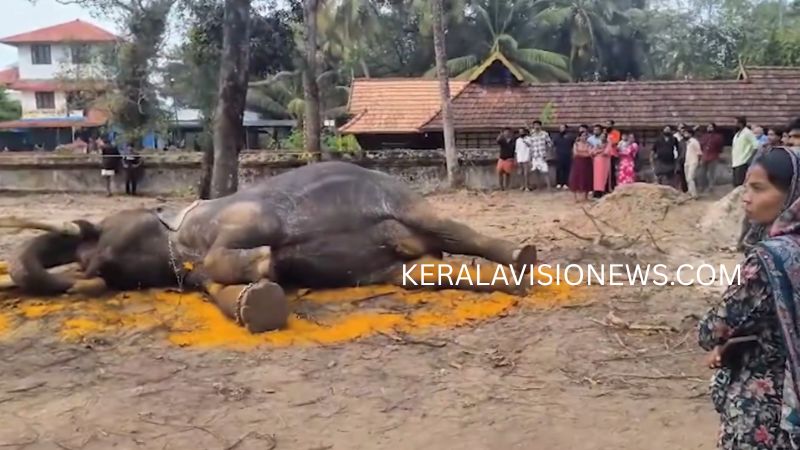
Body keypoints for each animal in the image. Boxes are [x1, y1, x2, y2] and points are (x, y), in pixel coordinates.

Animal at [0, 161, 538, 333]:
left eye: (99, 231)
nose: (83, 269)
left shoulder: (242, 214)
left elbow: (247, 242)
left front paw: (267, 262)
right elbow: (222, 292)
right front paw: (261, 296)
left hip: (402, 198)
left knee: (448, 228)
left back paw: (523, 260)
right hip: (394, 264)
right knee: (420, 272)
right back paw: (508, 282)